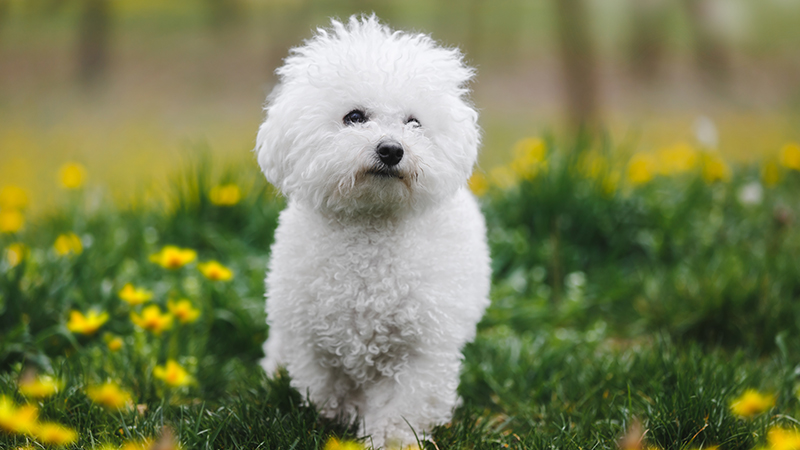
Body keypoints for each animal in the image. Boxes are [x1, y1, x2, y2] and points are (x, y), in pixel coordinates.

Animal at [256, 14, 490, 450]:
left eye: (414, 122)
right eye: (354, 117)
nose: (392, 149)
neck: (371, 228)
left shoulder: (421, 349)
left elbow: (404, 404)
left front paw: (392, 437)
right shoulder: (312, 340)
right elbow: (324, 387)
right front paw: (336, 418)